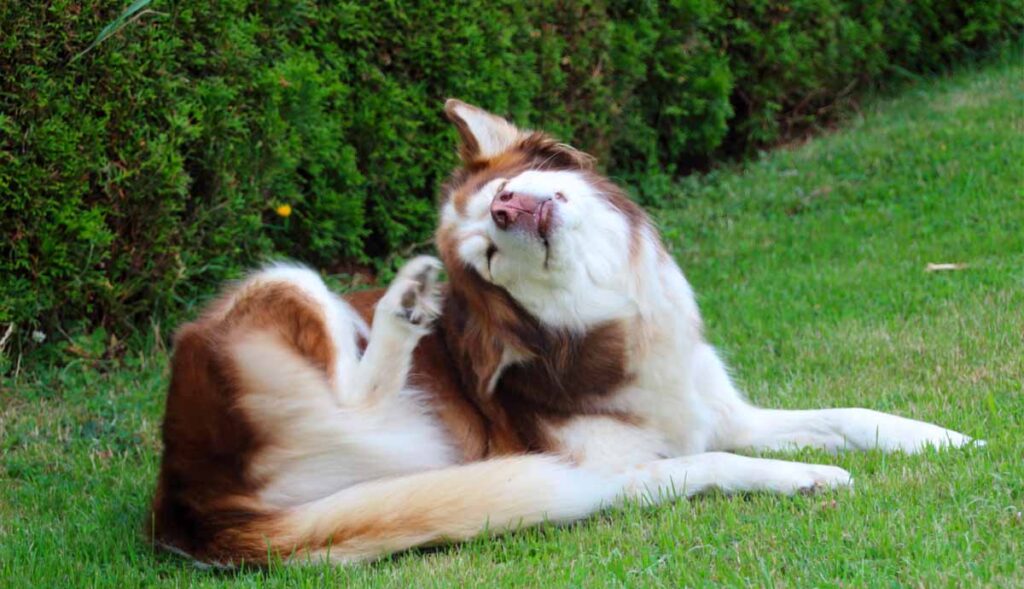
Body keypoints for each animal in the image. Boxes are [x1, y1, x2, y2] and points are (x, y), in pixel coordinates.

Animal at [146, 100, 974, 565]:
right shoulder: (620, 470)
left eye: (502, 193)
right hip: (292, 287)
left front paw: (938, 437)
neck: (607, 321)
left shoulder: (720, 410)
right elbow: (718, 464)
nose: (509, 210)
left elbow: (847, 414)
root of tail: (187, 500)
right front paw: (805, 475)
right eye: (486, 254)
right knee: (357, 390)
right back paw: (403, 308)